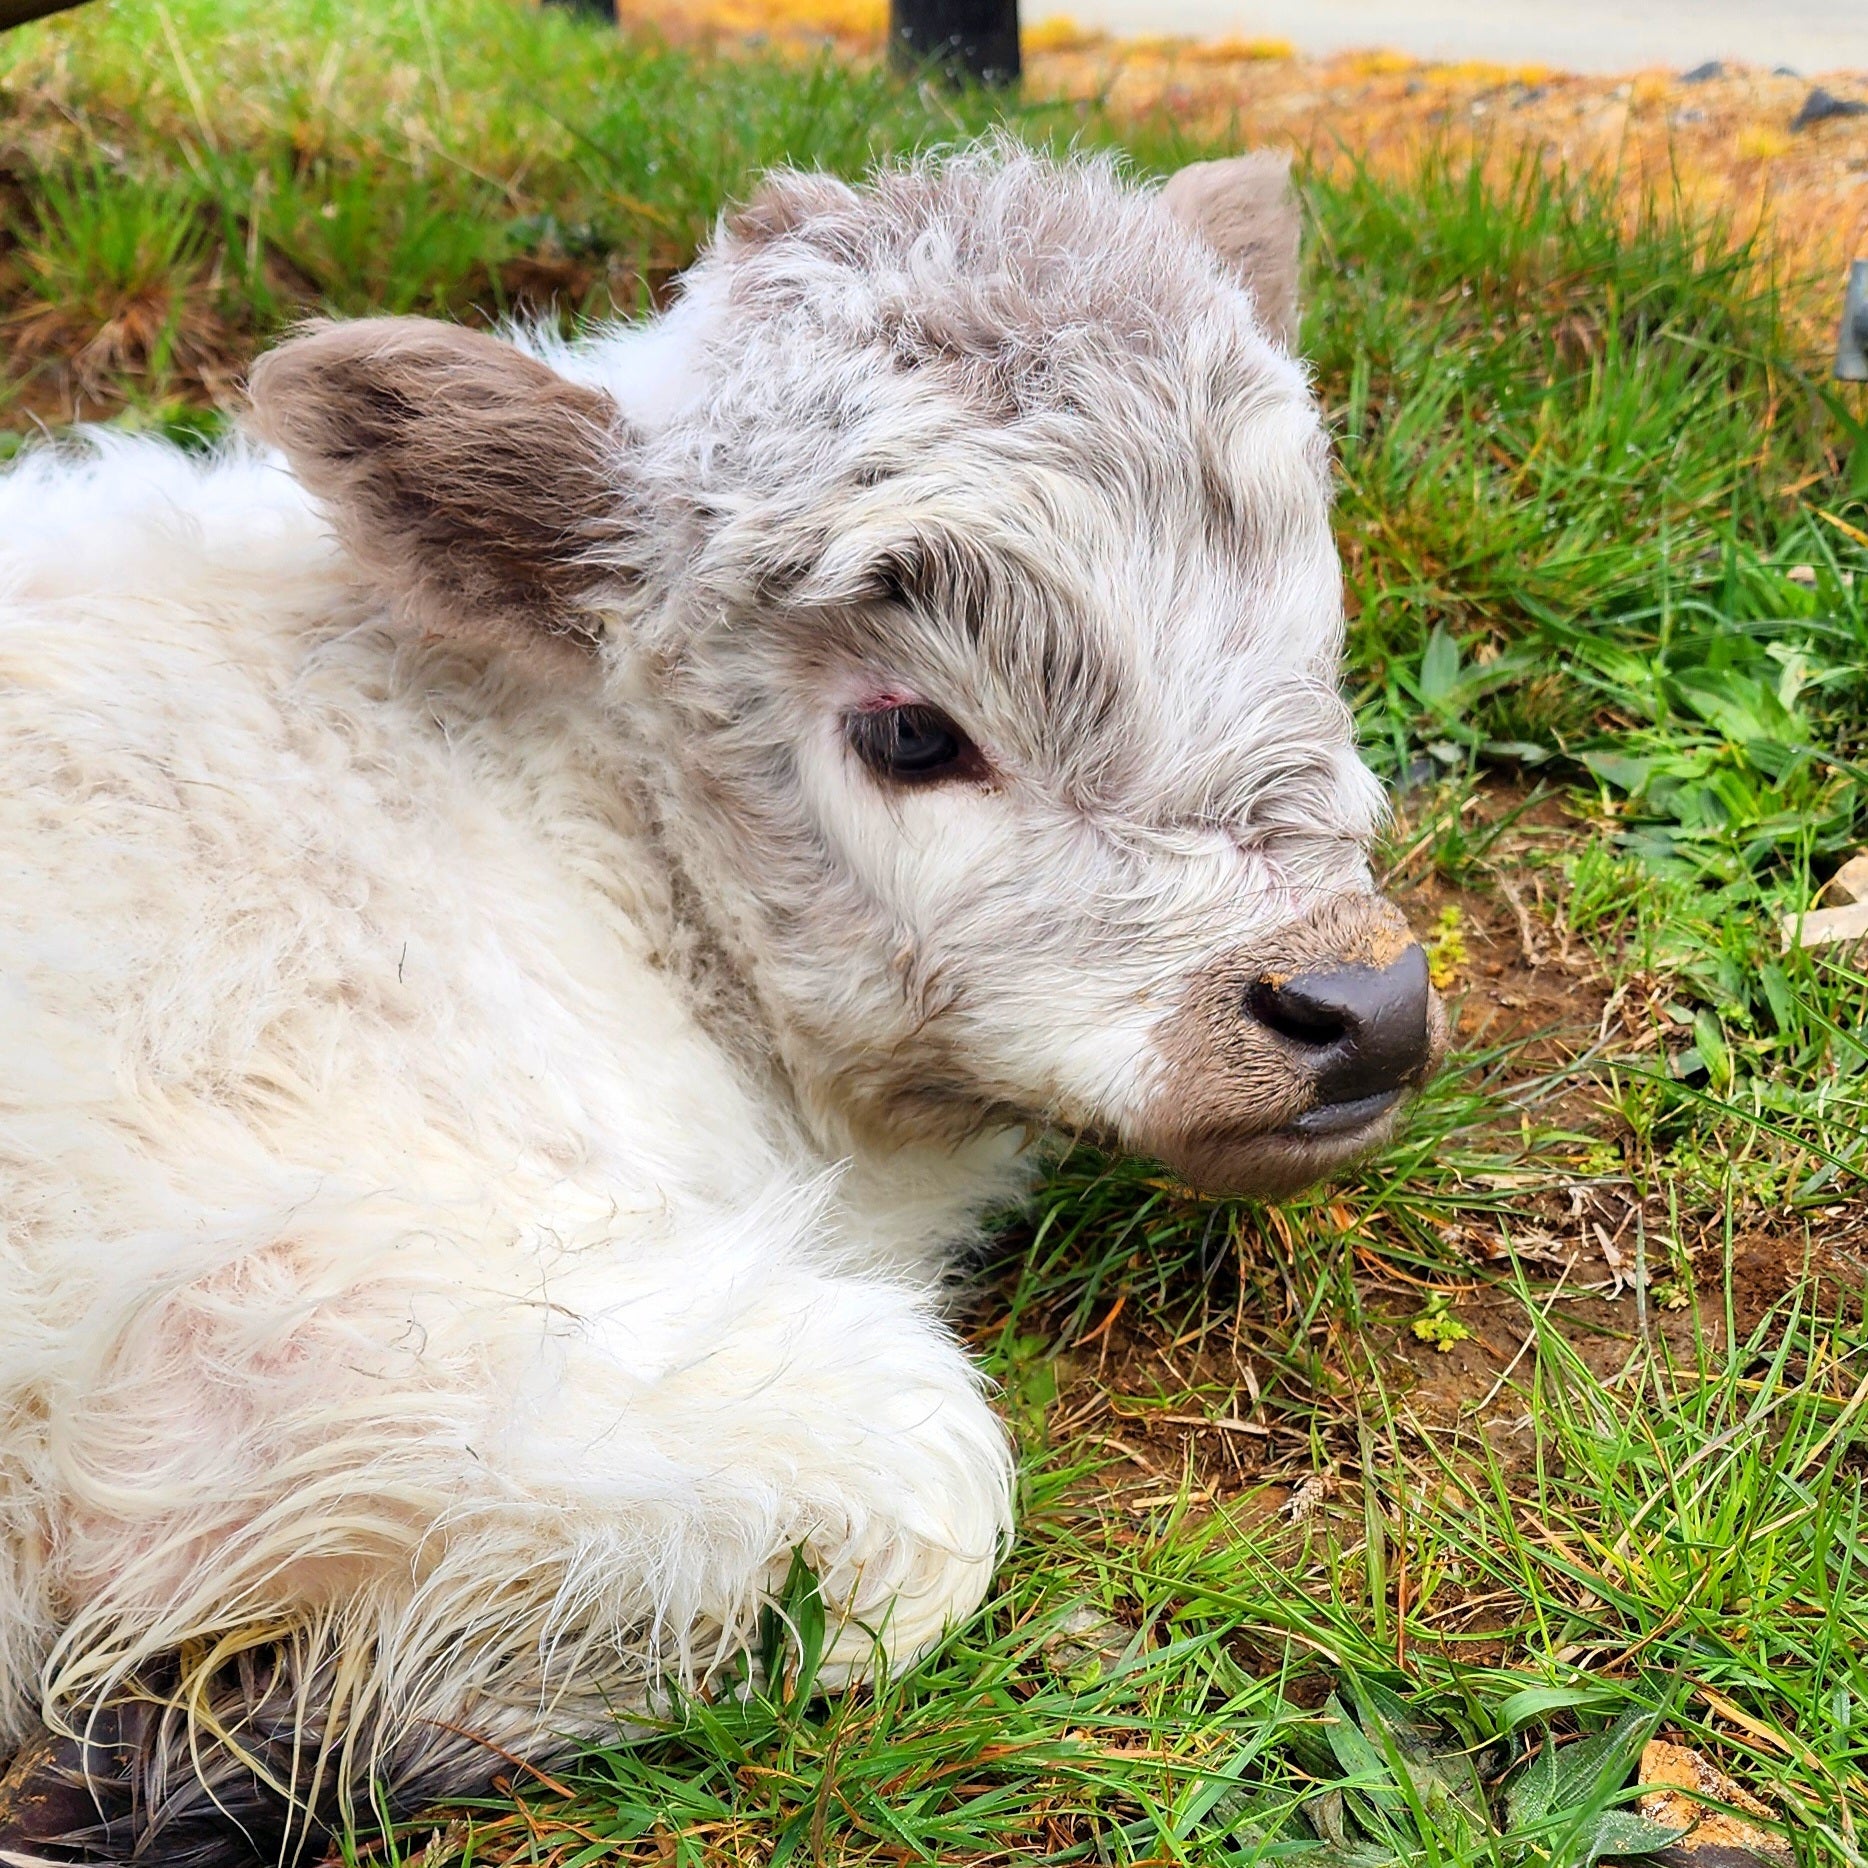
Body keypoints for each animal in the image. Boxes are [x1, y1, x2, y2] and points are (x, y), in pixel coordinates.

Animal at [0, 145, 1442, 1868]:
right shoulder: (264, 1304)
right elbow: (917, 1476)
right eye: (910, 733)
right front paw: (209, 1746)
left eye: (1313, 635)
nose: (1361, 1003)